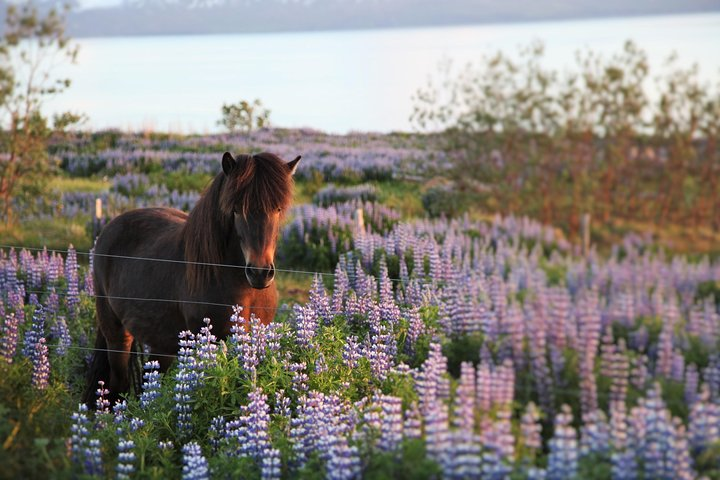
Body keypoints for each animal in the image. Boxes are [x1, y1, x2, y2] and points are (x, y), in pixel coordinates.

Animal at [83, 151, 300, 404]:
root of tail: (110, 227)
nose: (259, 272)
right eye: (236, 209)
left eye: (278, 209)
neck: (244, 291)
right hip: (116, 334)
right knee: (118, 385)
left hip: (161, 342)